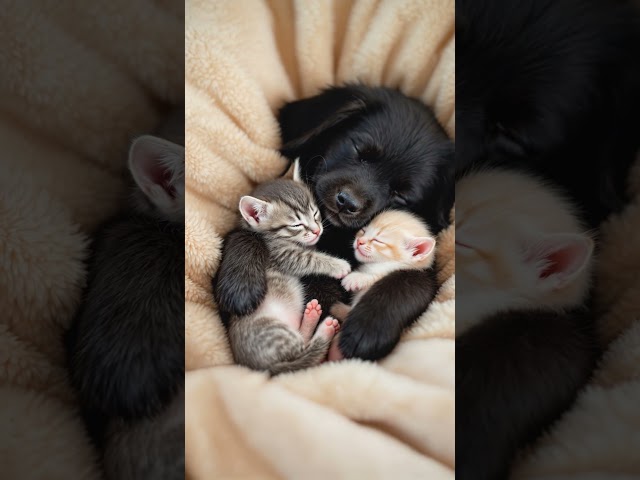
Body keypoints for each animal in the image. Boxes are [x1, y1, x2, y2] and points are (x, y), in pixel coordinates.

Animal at [225, 161, 352, 376]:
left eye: (315, 213)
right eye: (296, 224)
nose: (317, 230)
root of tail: (261, 369)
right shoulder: (282, 254)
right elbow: (310, 259)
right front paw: (339, 266)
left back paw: (312, 315)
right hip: (276, 333)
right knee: (306, 351)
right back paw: (324, 330)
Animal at [328, 210, 438, 360]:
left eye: (378, 240)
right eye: (363, 230)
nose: (359, 241)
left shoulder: (386, 271)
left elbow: (372, 276)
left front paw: (354, 279)